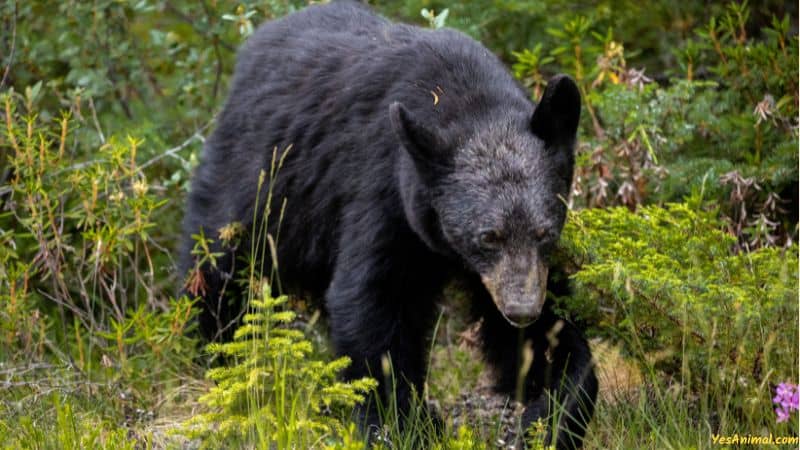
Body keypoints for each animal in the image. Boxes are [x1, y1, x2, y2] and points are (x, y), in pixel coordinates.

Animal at [181, 1, 592, 448]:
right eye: (488, 237)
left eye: (544, 232)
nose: (521, 309)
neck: (465, 99)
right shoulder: (383, 192)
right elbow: (373, 300)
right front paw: (403, 422)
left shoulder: (517, 269)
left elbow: (549, 333)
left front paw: (551, 412)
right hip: (259, 179)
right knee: (218, 263)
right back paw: (217, 350)